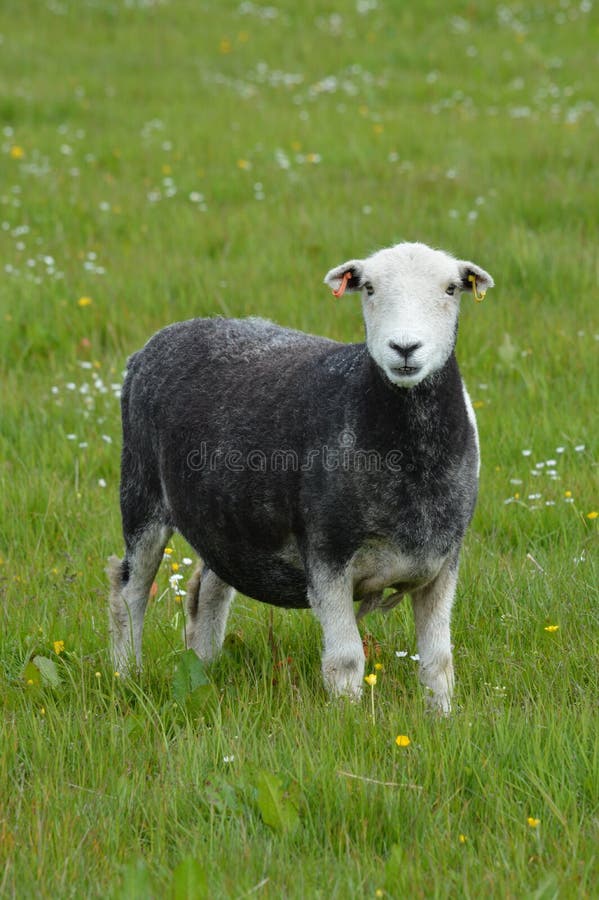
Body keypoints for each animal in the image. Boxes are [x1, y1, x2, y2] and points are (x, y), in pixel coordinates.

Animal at [108, 241, 494, 713]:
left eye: (452, 289)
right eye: (368, 288)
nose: (404, 347)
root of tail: (159, 340)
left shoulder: (443, 562)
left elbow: (438, 660)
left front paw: (441, 718)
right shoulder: (327, 555)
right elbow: (346, 660)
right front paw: (348, 719)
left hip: (228, 519)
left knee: (207, 589)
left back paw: (202, 669)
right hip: (141, 490)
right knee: (129, 590)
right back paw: (127, 675)